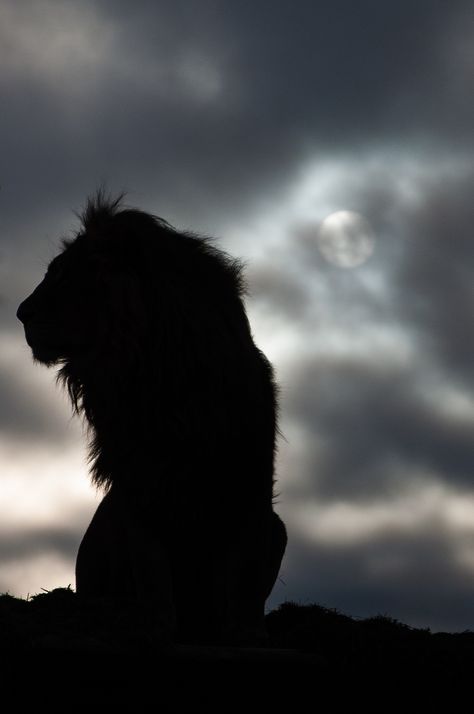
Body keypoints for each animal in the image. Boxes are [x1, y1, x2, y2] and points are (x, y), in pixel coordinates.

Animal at [16, 192, 286, 644]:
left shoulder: (248, 475)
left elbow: (244, 575)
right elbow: (151, 567)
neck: (152, 373)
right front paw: (156, 626)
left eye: (65, 274)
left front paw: (245, 633)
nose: (21, 313)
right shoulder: (135, 481)